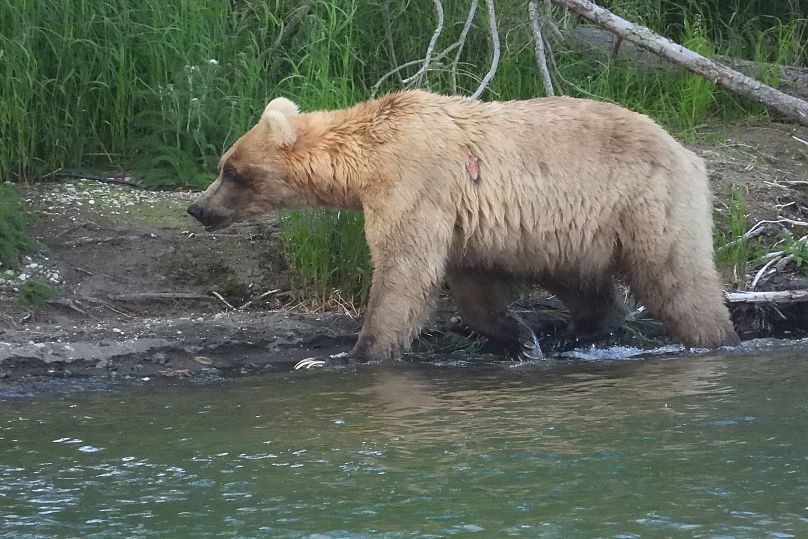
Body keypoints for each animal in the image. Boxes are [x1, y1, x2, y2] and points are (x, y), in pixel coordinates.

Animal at [188, 92, 740, 362]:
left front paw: (361, 351)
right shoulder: (462, 221)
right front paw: (519, 336)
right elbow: (471, 285)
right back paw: (575, 332)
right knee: (582, 281)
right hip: (572, 231)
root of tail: (686, 151)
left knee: (676, 276)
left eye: (231, 171)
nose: (198, 208)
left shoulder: (416, 182)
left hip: (645, 203)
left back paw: (716, 338)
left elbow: (404, 271)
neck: (364, 161)